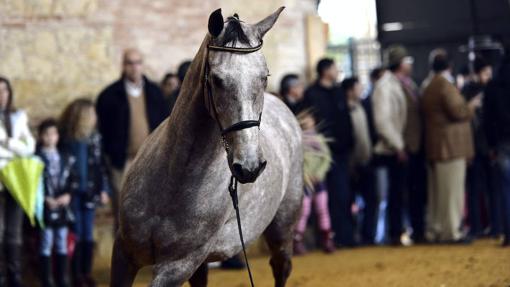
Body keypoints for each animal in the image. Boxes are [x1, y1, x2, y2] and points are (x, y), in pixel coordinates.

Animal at [110, 7, 302, 287]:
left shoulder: (177, 266)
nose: (249, 167)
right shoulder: (124, 253)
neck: (173, 181)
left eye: (264, 77)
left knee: (282, 267)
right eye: (217, 79)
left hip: (282, 226)